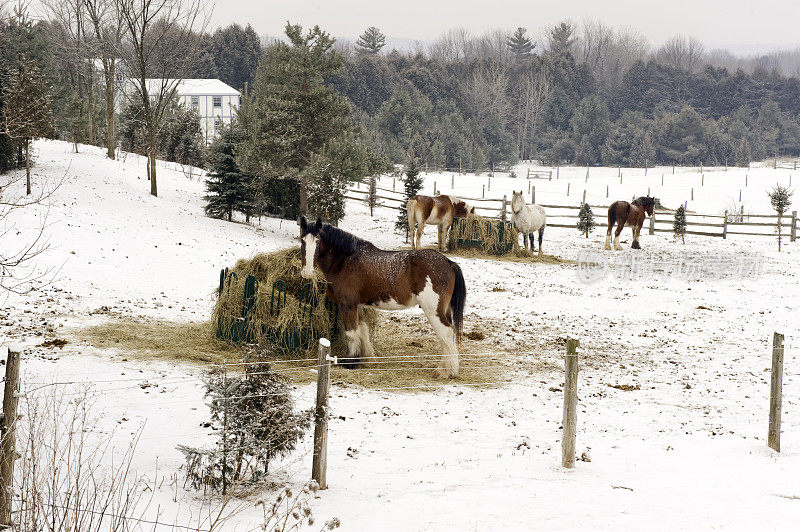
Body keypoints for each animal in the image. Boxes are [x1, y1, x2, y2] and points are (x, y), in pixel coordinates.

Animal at [300, 216, 466, 378]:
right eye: (302, 240)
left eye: (318, 241)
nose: (307, 272)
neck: (346, 260)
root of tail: (449, 263)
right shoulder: (357, 306)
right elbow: (363, 330)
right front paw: (367, 359)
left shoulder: (347, 305)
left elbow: (351, 333)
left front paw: (350, 362)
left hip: (433, 311)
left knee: (446, 333)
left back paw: (447, 371)